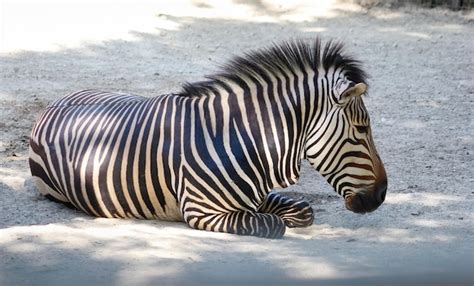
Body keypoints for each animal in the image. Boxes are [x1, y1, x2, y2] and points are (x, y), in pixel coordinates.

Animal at [28, 38, 386, 239]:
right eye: (361, 129)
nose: (382, 195)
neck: (242, 141)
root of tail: (54, 103)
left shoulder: (255, 198)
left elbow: (302, 209)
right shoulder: (202, 211)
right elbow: (269, 224)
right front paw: (276, 220)